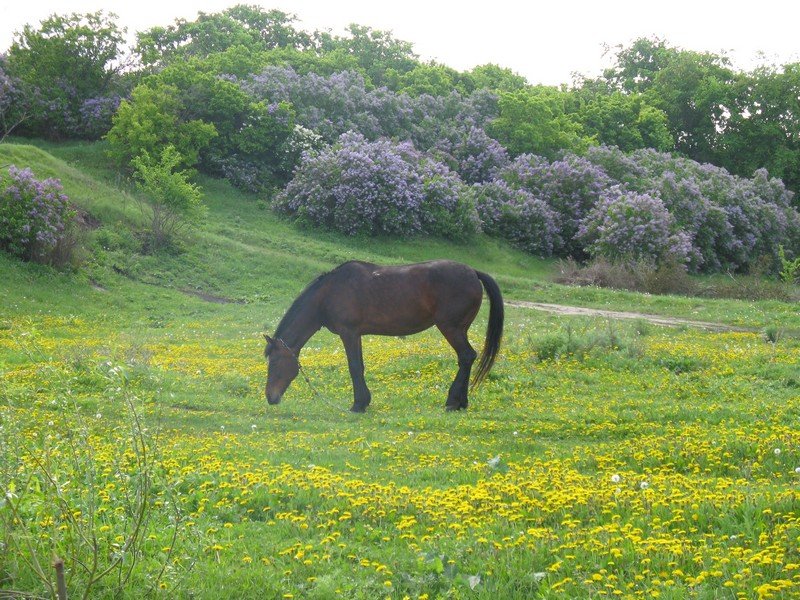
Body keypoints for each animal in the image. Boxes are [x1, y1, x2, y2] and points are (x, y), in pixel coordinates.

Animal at [264, 258, 500, 412]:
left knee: (467, 356)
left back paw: (452, 401)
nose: (270, 397)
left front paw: (358, 404)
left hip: (451, 328)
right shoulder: (356, 334)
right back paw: (462, 402)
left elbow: (355, 367)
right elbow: (358, 366)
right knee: (466, 359)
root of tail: (473, 272)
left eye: (274, 362)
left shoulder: (349, 333)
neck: (329, 293)